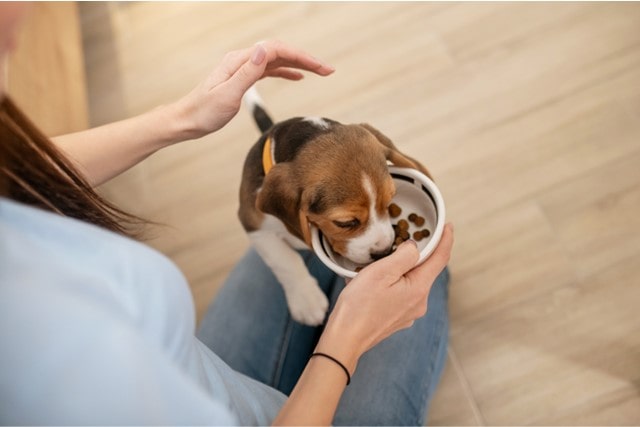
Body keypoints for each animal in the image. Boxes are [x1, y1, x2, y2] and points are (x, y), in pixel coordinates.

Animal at [238, 88, 432, 326]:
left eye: (389, 203)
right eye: (345, 223)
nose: (384, 252)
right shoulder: (254, 224)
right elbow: (284, 260)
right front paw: (307, 301)